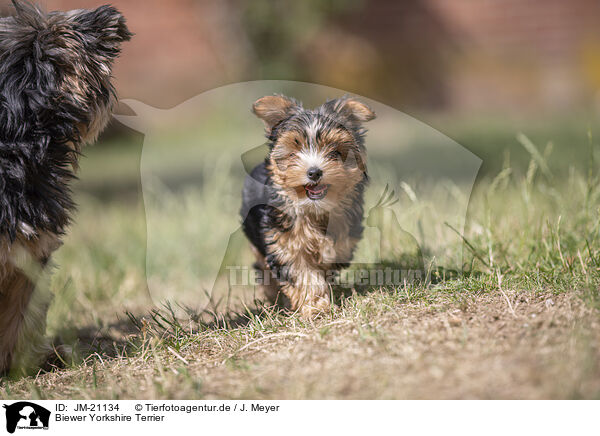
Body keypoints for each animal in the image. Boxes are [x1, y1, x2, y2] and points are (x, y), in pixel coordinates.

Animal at [240, 93, 376, 316]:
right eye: (293, 152)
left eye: (335, 152)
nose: (314, 172)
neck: (315, 208)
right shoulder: (286, 241)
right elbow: (302, 273)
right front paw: (316, 307)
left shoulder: (344, 237)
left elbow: (333, 253)